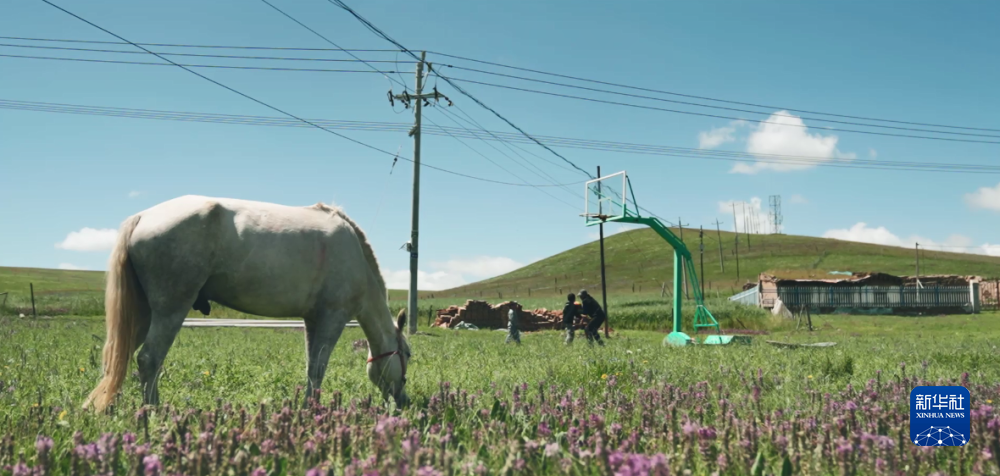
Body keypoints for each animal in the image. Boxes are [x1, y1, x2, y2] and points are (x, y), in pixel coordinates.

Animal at [82, 195, 411, 412]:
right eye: (407, 353)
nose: (403, 400)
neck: (355, 256)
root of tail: (143, 217)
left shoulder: (313, 320)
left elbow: (310, 367)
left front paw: (308, 406)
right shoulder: (333, 317)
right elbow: (318, 368)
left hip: (143, 314)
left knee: (120, 357)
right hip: (170, 310)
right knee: (149, 359)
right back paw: (154, 411)